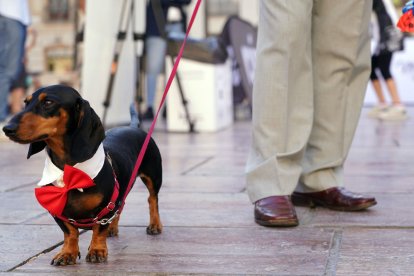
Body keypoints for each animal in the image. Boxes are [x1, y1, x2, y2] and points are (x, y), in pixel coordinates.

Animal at [2, 84, 163, 266]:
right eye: (26, 102)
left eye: (48, 102)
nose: (7, 128)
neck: (69, 171)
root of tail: (133, 127)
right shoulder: (57, 212)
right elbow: (70, 233)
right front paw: (67, 253)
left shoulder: (106, 207)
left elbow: (98, 230)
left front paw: (97, 250)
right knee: (121, 206)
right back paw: (112, 228)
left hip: (153, 177)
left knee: (152, 199)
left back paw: (155, 225)